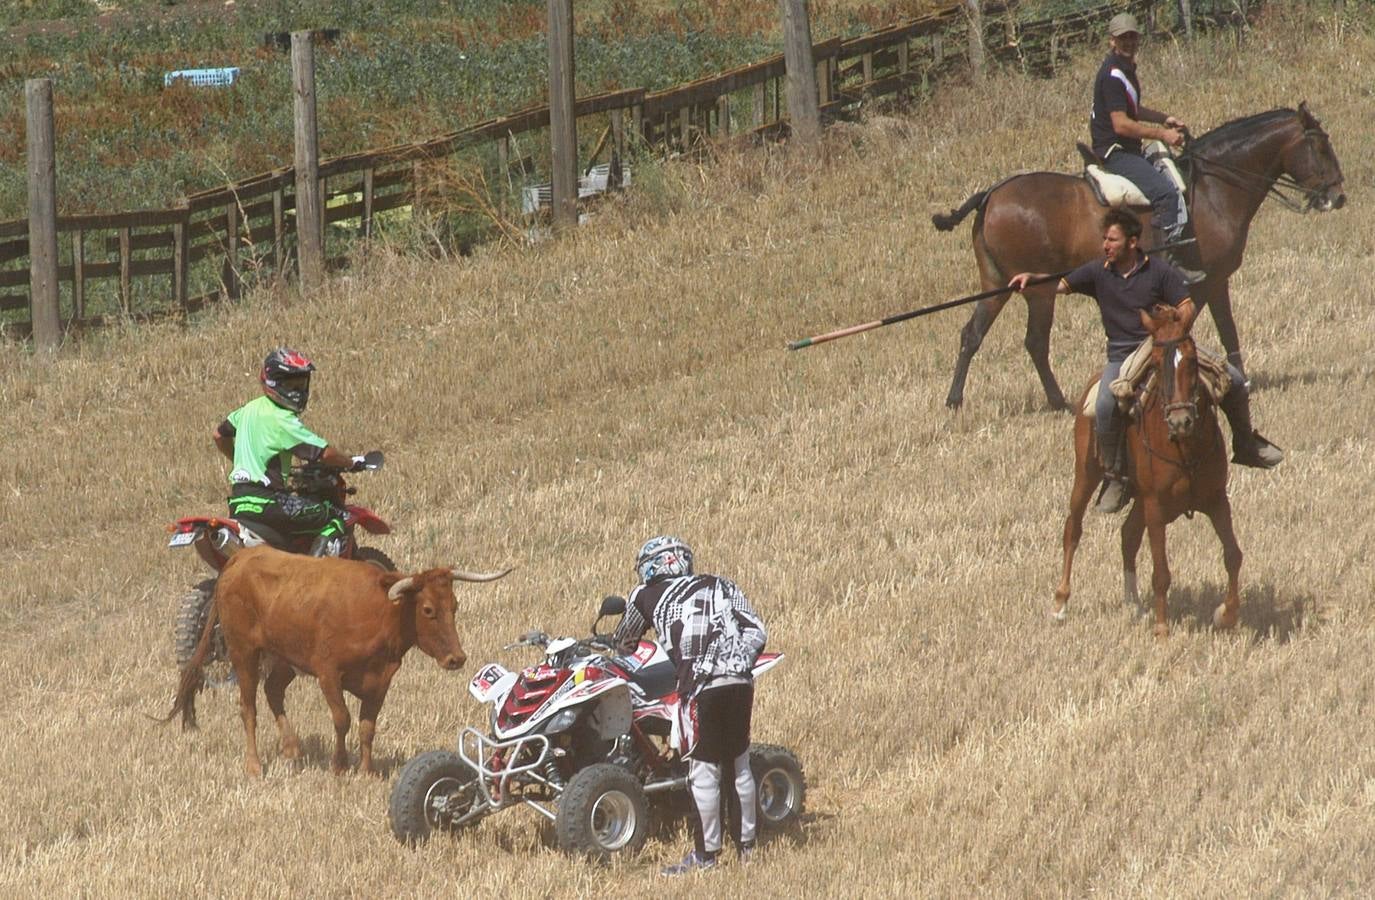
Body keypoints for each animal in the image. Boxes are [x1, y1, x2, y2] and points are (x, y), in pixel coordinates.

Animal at [160, 546, 506, 780]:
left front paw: (366, 771)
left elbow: (367, 727)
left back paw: (292, 749)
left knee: (273, 691)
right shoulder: (328, 674)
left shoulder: (381, 680)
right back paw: (255, 766)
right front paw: (339, 766)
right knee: (249, 707)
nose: (456, 658)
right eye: (429, 609)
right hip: (243, 652)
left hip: (284, 656)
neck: (378, 612)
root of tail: (241, 558)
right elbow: (342, 719)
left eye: (455, 606)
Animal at [935, 105, 1342, 412]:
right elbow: (1208, 329)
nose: (1337, 196)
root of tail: (992, 195)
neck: (1213, 188)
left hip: (998, 285)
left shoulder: (1209, 283)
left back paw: (955, 400)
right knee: (1035, 342)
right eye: (1321, 146)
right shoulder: (1207, 281)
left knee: (972, 335)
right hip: (1040, 290)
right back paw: (1058, 402)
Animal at [1050, 305, 1237, 640]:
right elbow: (1161, 572)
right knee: (1073, 530)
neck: (1183, 447)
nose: (1181, 421)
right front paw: (1162, 630)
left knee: (1128, 535)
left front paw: (1227, 615)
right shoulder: (1156, 507)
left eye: (1191, 359)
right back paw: (1060, 603)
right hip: (1086, 477)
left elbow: (1232, 555)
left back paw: (1133, 604)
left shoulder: (1217, 500)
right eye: (1157, 364)